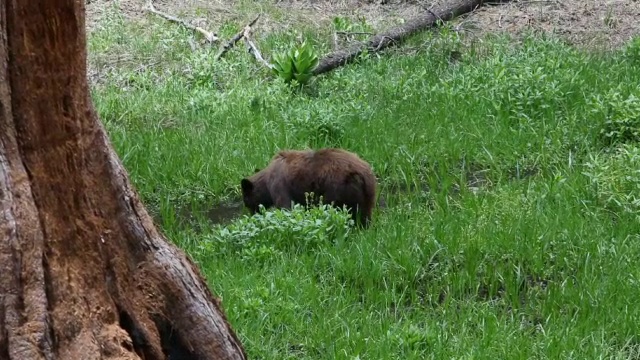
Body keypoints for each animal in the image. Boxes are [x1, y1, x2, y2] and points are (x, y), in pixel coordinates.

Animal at [242, 147, 378, 226]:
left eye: (246, 201)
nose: (253, 215)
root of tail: (362, 173)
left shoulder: (279, 184)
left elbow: (285, 206)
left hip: (337, 188)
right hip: (368, 194)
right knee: (364, 214)